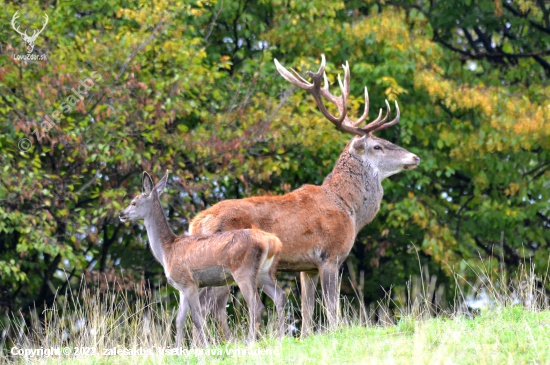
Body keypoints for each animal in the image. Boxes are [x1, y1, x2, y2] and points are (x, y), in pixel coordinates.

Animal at [118, 171, 286, 344]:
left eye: (133, 202)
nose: (121, 214)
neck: (166, 251)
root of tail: (273, 242)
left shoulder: (189, 282)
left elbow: (196, 318)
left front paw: (203, 346)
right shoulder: (181, 287)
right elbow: (179, 320)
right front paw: (178, 348)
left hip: (243, 270)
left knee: (256, 306)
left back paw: (250, 342)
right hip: (263, 272)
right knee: (280, 295)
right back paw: (281, 337)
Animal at [191, 54, 422, 336]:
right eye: (377, 146)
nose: (415, 157)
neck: (349, 209)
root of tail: (197, 223)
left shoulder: (306, 267)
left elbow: (308, 311)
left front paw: (305, 337)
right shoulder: (330, 256)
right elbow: (332, 310)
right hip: (226, 263)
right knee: (207, 306)